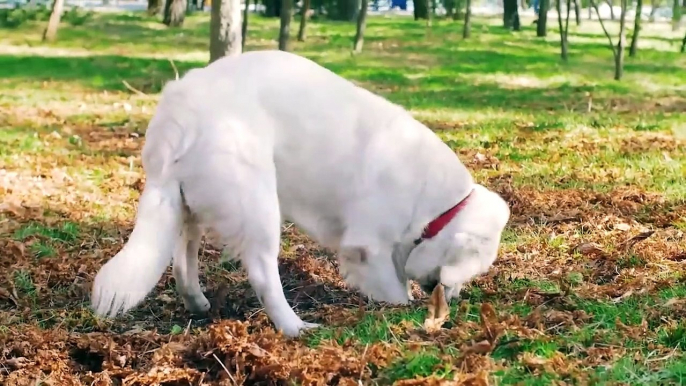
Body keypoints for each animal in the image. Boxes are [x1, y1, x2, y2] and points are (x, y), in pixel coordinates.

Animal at [90, 49, 510, 336]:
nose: (453, 298)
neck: (437, 203)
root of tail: (181, 107)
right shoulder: (367, 248)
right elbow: (394, 289)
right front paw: (398, 310)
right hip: (257, 204)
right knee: (262, 273)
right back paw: (295, 327)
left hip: (188, 203)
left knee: (182, 257)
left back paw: (197, 301)